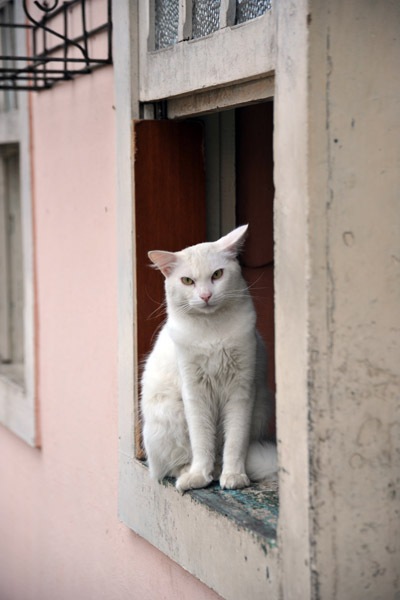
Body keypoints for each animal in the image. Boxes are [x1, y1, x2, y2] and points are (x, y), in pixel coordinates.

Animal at [141, 225, 278, 492]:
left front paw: (233, 476)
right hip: (169, 413)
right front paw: (198, 476)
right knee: (172, 465)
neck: (211, 331)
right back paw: (190, 474)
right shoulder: (195, 391)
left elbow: (234, 442)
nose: (205, 296)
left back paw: (217, 470)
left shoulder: (241, 389)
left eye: (217, 274)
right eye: (187, 281)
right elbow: (202, 442)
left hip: (261, 407)